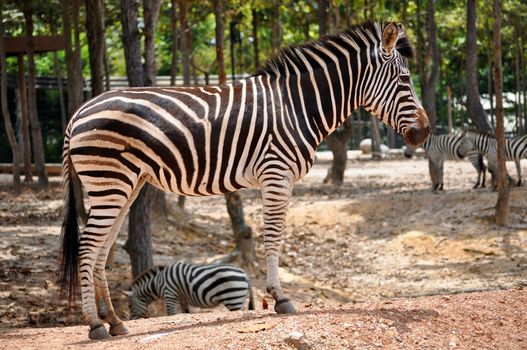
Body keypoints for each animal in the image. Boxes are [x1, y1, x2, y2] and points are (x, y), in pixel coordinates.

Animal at [124, 262, 256, 318]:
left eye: (129, 306)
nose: (130, 320)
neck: (157, 282)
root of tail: (245, 274)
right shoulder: (182, 298)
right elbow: (185, 312)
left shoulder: (170, 294)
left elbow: (171, 314)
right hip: (237, 298)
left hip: (233, 298)